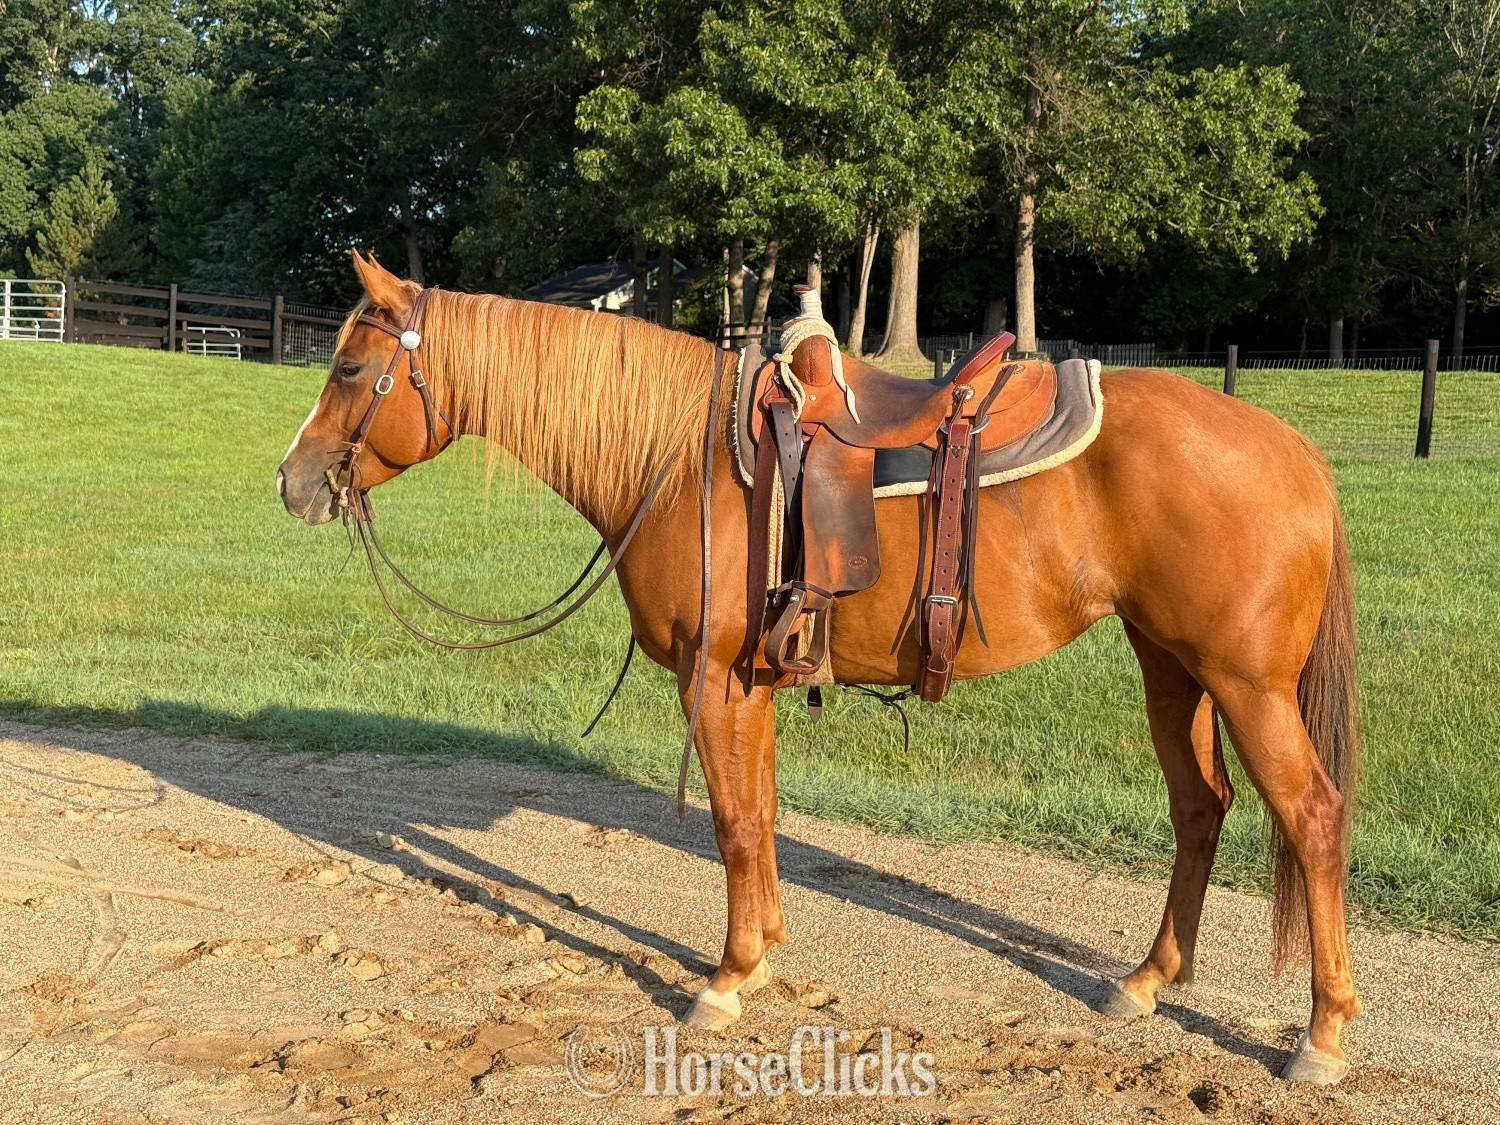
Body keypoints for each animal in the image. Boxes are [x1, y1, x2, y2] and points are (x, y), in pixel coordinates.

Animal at [276, 253, 1361, 1085]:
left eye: (349, 366)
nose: (290, 482)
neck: (679, 455)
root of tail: (1297, 452)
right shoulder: (749, 680)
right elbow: (757, 814)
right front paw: (760, 958)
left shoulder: (711, 678)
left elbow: (731, 821)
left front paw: (724, 978)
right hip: (1171, 666)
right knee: (1200, 807)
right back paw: (1145, 980)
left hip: (1246, 684)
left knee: (1310, 816)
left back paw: (1322, 1034)